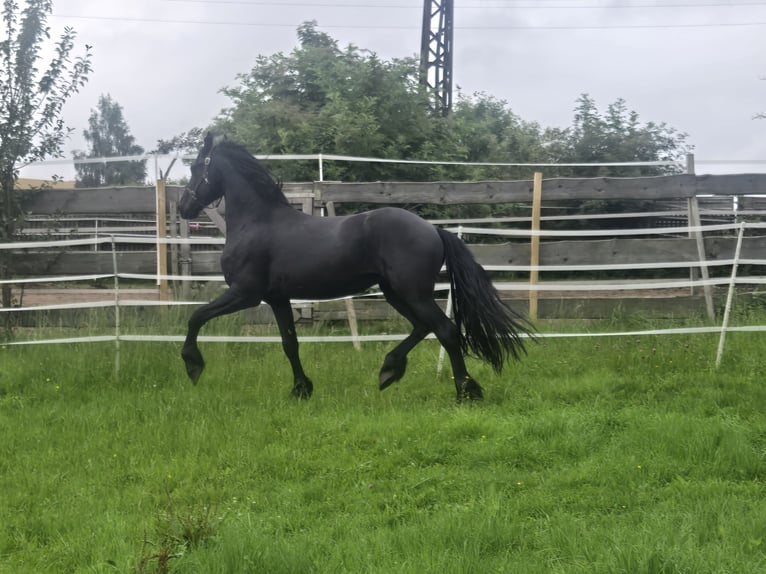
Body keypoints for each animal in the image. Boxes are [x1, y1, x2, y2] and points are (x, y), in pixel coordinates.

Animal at [178, 133, 533, 401]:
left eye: (195, 167)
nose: (183, 207)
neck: (258, 223)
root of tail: (433, 230)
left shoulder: (245, 294)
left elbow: (196, 317)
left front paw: (193, 366)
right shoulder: (277, 299)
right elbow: (290, 344)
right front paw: (301, 390)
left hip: (412, 293)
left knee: (445, 330)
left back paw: (465, 392)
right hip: (396, 294)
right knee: (424, 327)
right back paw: (389, 370)